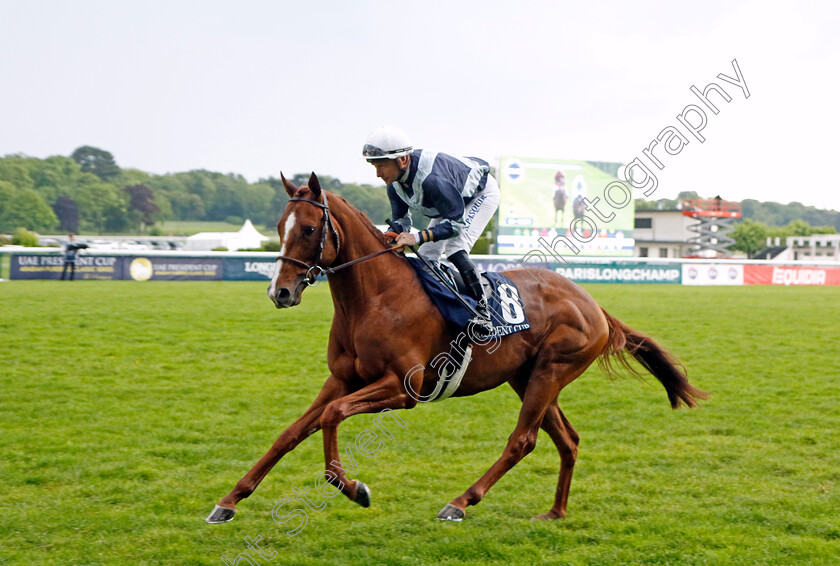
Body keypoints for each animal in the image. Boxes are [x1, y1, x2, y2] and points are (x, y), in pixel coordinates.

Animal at [205, 173, 708, 524]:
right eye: (278, 226)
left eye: (310, 229)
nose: (280, 292)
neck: (376, 297)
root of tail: (593, 303)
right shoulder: (342, 379)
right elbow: (290, 433)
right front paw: (228, 501)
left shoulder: (403, 389)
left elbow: (331, 417)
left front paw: (353, 488)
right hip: (527, 376)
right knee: (567, 439)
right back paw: (555, 511)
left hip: (551, 370)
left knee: (522, 440)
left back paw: (460, 502)